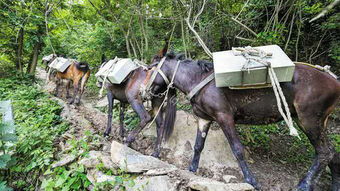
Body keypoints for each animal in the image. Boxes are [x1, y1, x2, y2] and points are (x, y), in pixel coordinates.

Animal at [150, 52, 340, 191]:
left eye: (150, 68)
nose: (147, 91)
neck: (198, 80)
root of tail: (335, 81)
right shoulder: (204, 119)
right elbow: (198, 146)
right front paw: (192, 170)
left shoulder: (225, 117)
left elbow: (237, 150)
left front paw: (251, 180)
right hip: (315, 122)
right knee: (332, 153)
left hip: (309, 121)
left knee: (324, 152)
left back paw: (304, 185)